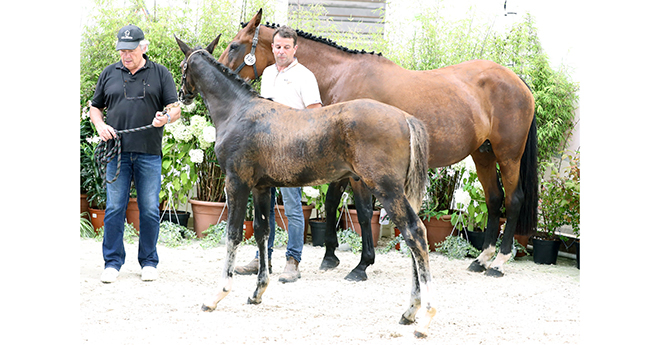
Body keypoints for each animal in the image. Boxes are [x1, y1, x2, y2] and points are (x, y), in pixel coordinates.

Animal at [175, 35, 438, 336]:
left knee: (414, 233)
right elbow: (263, 232)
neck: (238, 111)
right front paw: (257, 292)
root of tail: (405, 118)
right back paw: (410, 311)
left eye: (183, 66)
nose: (182, 95)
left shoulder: (236, 183)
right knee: (411, 239)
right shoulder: (262, 187)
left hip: (387, 189)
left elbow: (233, 234)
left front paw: (216, 296)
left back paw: (425, 317)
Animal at [219, 9, 540, 280]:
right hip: (483, 153)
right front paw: (330, 255)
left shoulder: (361, 171)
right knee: (494, 199)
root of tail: (517, 80)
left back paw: (499, 262)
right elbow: (332, 201)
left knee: (513, 200)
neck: (340, 77)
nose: (218, 70)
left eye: (234, 45)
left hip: (508, 155)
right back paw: (481, 259)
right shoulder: (341, 164)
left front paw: (362, 265)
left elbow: (362, 212)